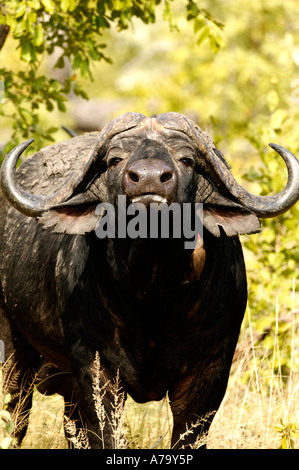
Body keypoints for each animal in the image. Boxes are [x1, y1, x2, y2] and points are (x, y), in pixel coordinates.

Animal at [0, 111, 299, 448]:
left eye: (187, 160)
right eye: (115, 159)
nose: (149, 178)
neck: (152, 297)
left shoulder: (210, 373)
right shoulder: (94, 369)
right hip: (14, 352)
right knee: (16, 416)